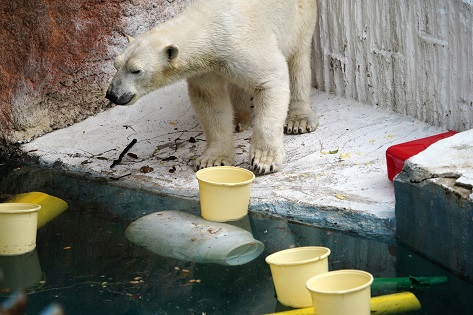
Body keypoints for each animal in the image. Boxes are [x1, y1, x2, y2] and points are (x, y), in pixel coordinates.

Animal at [105, 0, 318, 174]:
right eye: (116, 64)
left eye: (136, 70)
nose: (112, 95)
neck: (209, 27)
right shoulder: (205, 70)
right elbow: (210, 101)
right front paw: (213, 160)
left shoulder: (243, 43)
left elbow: (270, 78)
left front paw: (264, 161)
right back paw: (238, 119)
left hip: (300, 16)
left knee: (298, 56)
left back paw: (298, 120)